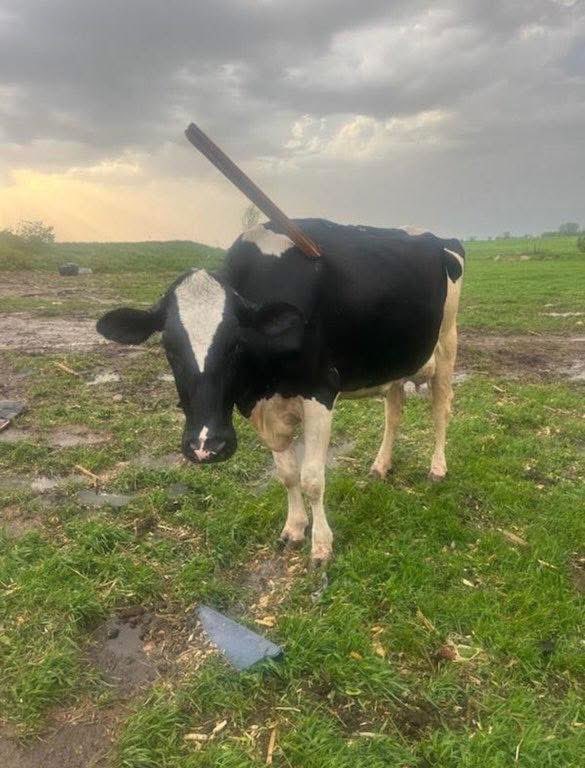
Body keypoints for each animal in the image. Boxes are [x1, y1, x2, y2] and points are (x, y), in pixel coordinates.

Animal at [97, 219, 464, 565]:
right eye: (169, 348)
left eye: (235, 344)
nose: (206, 447)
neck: (265, 380)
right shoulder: (264, 407)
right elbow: (287, 475)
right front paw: (294, 529)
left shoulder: (321, 391)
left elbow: (312, 478)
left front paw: (321, 546)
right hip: (397, 360)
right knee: (394, 410)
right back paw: (380, 465)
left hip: (447, 343)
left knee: (440, 410)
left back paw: (437, 468)